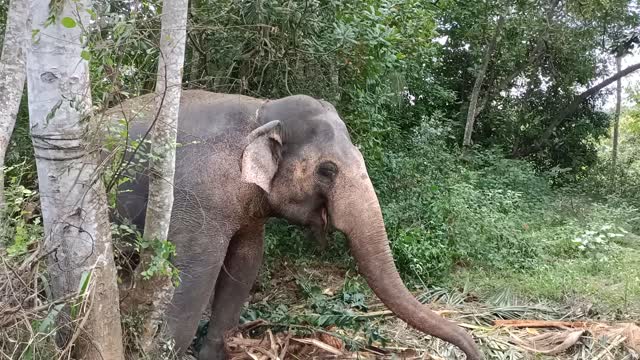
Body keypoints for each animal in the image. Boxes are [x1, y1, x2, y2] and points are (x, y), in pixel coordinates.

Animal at [106, 90, 480, 360]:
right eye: (327, 170)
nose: (473, 352)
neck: (261, 111)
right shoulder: (197, 194)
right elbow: (194, 275)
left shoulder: (249, 207)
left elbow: (245, 264)